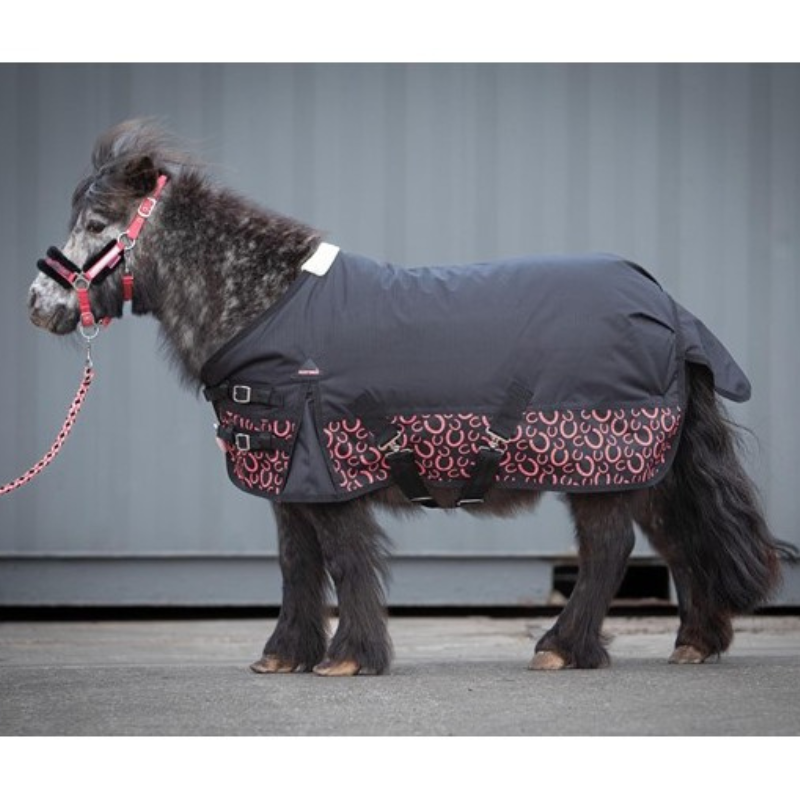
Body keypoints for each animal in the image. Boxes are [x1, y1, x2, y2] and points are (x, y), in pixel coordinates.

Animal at [27, 119, 793, 676]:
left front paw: (350, 659)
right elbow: (296, 564)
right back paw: (695, 641)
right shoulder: (288, 478)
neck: (267, 305)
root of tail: (665, 303)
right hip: (646, 470)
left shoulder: (330, 472)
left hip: (602, 468)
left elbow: (342, 560)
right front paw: (285, 655)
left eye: (96, 226)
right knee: (680, 540)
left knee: (610, 549)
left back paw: (561, 647)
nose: (38, 304)